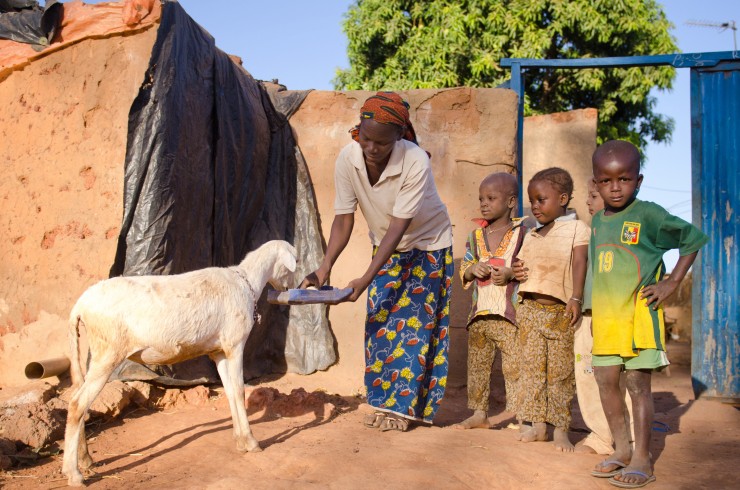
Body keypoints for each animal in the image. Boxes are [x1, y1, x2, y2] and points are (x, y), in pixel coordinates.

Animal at [61, 239, 298, 484]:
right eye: (296, 261)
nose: (292, 286)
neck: (246, 281)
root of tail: (80, 306)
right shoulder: (235, 344)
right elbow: (241, 391)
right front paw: (252, 442)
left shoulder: (219, 352)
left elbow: (231, 392)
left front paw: (240, 440)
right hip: (108, 352)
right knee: (77, 404)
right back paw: (74, 474)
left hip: (96, 351)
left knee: (77, 397)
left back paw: (86, 459)